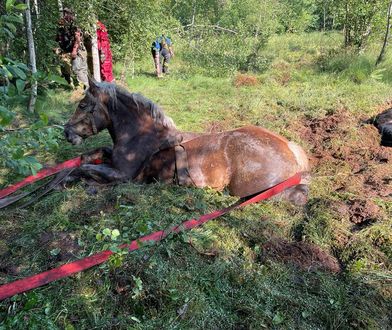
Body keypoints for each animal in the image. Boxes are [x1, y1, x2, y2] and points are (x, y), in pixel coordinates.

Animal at [63, 79, 310, 205]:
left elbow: (84, 169)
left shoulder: (123, 176)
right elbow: (90, 157)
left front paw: (72, 181)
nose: (66, 132)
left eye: (83, 105)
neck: (139, 136)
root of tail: (290, 150)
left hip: (248, 188)